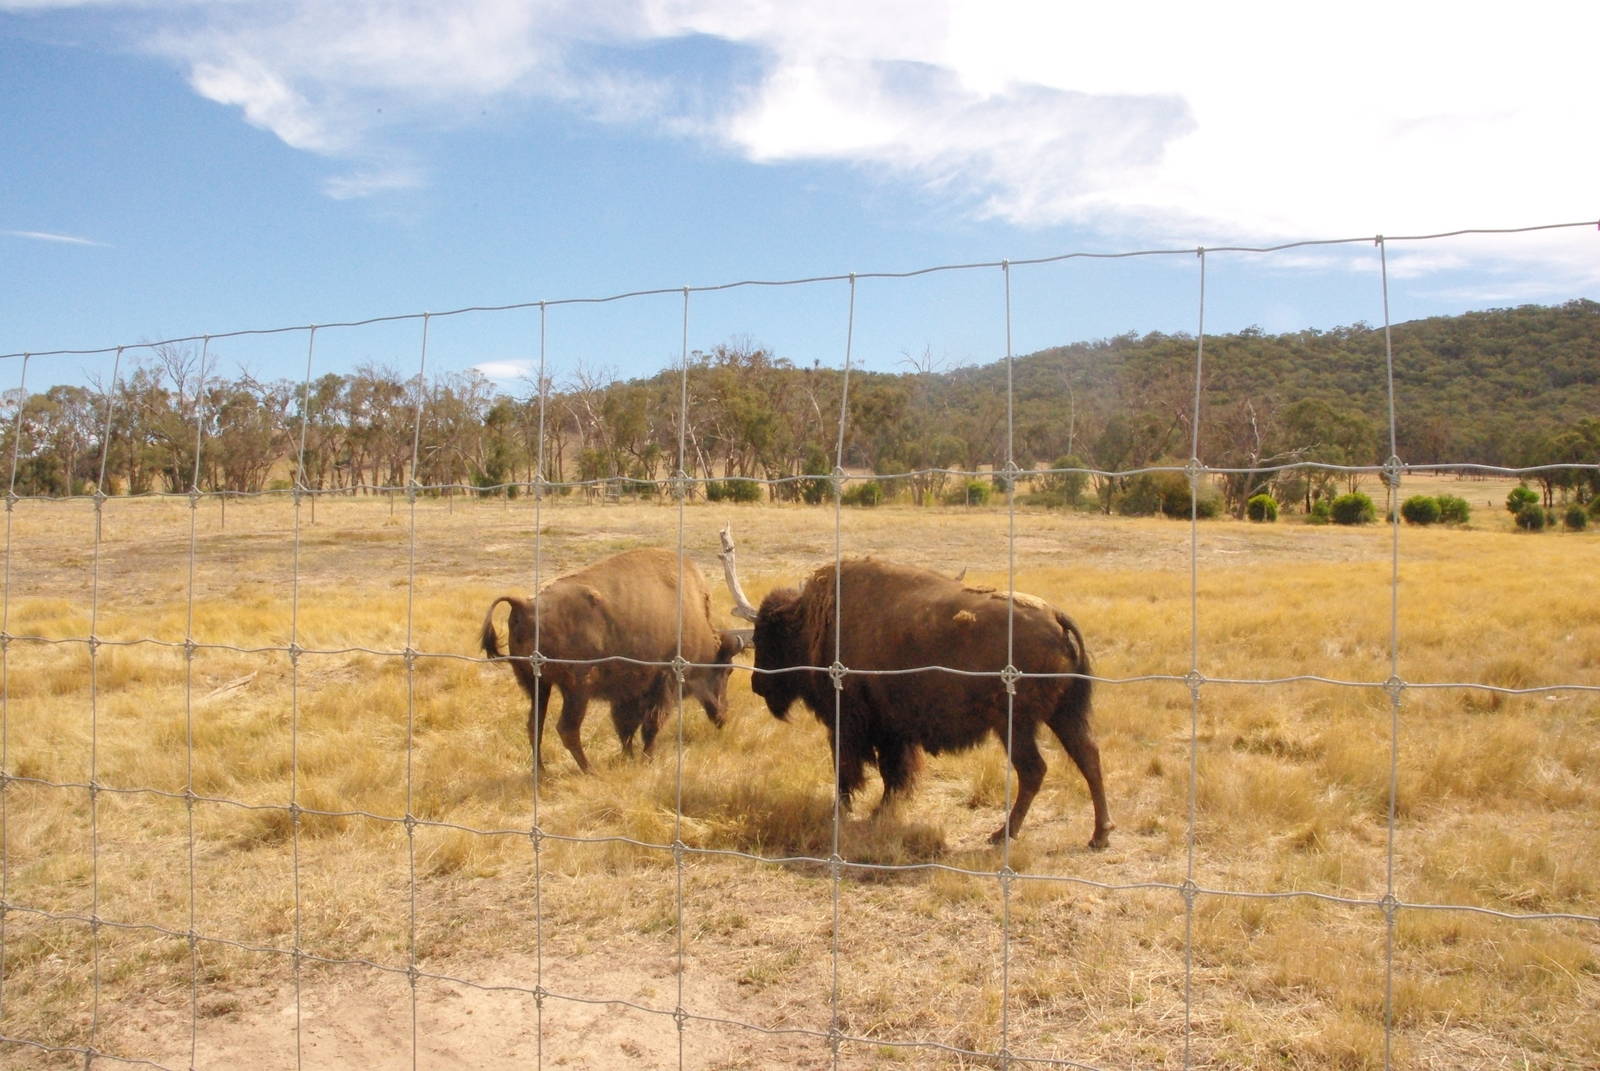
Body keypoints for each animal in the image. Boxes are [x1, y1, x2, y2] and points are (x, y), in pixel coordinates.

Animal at [481, 547, 744, 773]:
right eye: (727, 670)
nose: (722, 716)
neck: (695, 614)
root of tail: (524, 604)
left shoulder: (627, 691)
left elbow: (625, 727)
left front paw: (627, 757)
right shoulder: (664, 682)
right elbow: (651, 724)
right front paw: (646, 760)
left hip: (537, 685)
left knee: (535, 724)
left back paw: (542, 773)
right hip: (577, 689)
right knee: (567, 728)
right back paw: (589, 771)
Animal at [725, 549, 1112, 849]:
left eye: (769, 637)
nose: (758, 684)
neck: (815, 621)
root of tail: (1055, 616)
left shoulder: (849, 723)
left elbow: (849, 769)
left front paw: (841, 812)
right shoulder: (892, 731)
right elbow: (892, 773)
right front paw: (882, 811)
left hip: (1015, 725)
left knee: (1034, 770)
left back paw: (1003, 834)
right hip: (1063, 715)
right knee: (1088, 757)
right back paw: (1099, 835)